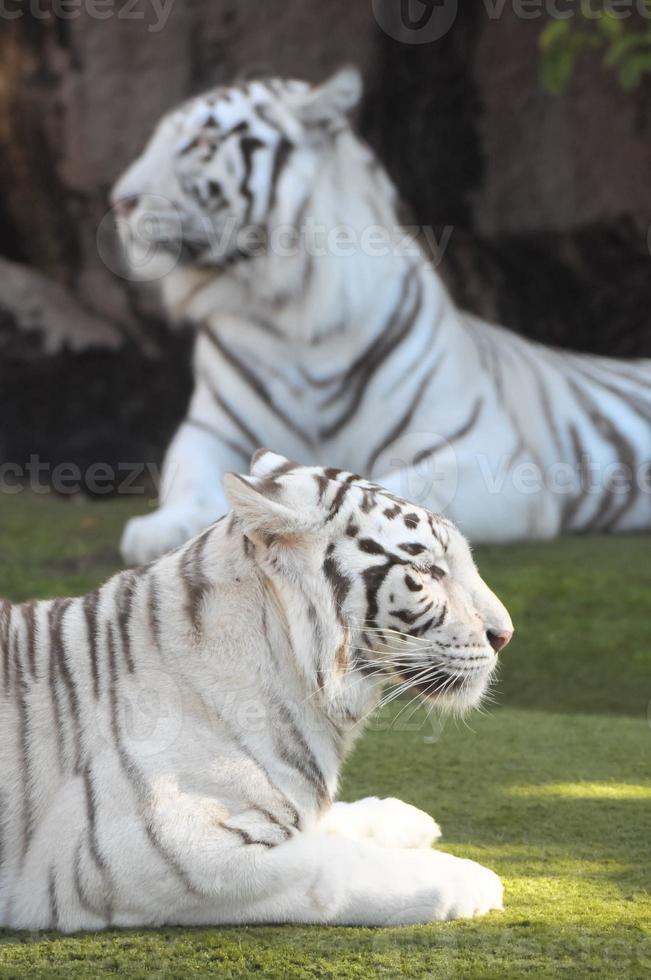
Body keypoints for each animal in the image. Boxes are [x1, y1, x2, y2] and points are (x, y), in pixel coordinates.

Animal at [0, 456, 512, 932]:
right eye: (427, 570)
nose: (504, 635)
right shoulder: (160, 853)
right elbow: (337, 865)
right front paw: (472, 878)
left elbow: (328, 821)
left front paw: (405, 817)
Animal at [112, 67, 651, 568]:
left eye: (202, 142)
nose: (119, 202)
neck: (288, 313)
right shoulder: (209, 433)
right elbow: (189, 482)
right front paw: (160, 531)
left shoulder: (485, 452)